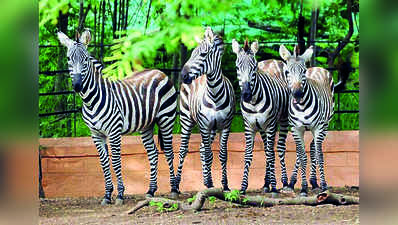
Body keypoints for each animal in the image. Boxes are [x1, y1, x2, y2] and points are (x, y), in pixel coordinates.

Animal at [57, 29, 179, 205]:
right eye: (68, 59)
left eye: (85, 59)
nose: (77, 86)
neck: (91, 101)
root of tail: (159, 71)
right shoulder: (96, 134)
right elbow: (103, 162)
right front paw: (107, 194)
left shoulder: (114, 131)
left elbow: (115, 161)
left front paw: (120, 194)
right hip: (146, 125)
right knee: (153, 153)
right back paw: (150, 191)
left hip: (166, 118)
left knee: (169, 151)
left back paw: (174, 189)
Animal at [175, 27, 235, 191]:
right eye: (191, 54)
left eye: (202, 54)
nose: (183, 75)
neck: (214, 94)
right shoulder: (204, 125)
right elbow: (209, 155)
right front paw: (209, 185)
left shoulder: (225, 125)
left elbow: (222, 155)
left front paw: (225, 185)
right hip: (186, 119)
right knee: (183, 149)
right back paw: (175, 185)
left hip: (213, 128)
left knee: (202, 148)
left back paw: (208, 181)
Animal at [230, 38, 290, 193]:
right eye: (237, 67)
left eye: (254, 67)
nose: (246, 94)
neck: (254, 102)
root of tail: (274, 60)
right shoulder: (249, 127)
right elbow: (248, 155)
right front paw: (243, 186)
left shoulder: (270, 125)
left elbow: (270, 154)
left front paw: (274, 186)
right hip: (262, 127)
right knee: (267, 149)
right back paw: (265, 184)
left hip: (283, 120)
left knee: (279, 148)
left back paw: (284, 182)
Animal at [278, 45, 334, 195]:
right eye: (287, 72)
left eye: (303, 71)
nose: (297, 94)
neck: (302, 106)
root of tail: (317, 68)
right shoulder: (296, 128)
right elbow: (302, 156)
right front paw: (303, 187)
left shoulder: (319, 127)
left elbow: (319, 154)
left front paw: (324, 185)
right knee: (302, 151)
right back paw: (293, 182)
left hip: (325, 125)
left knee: (314, 148)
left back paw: (315, 182)